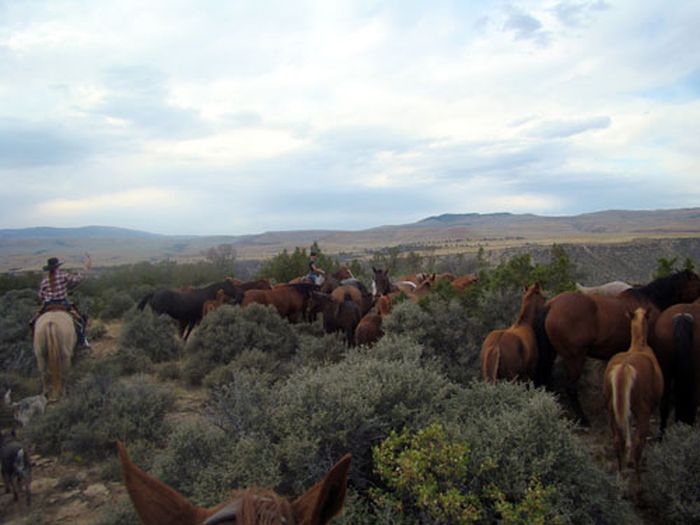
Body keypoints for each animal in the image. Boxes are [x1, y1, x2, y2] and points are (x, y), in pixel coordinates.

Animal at [604, 304, 664, 476]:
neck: (639, 345)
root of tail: (625, 367)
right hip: (642, 410)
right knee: (639, 442)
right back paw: (637, 474)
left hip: (612, 410)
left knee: (617, 440)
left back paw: (621, 472)